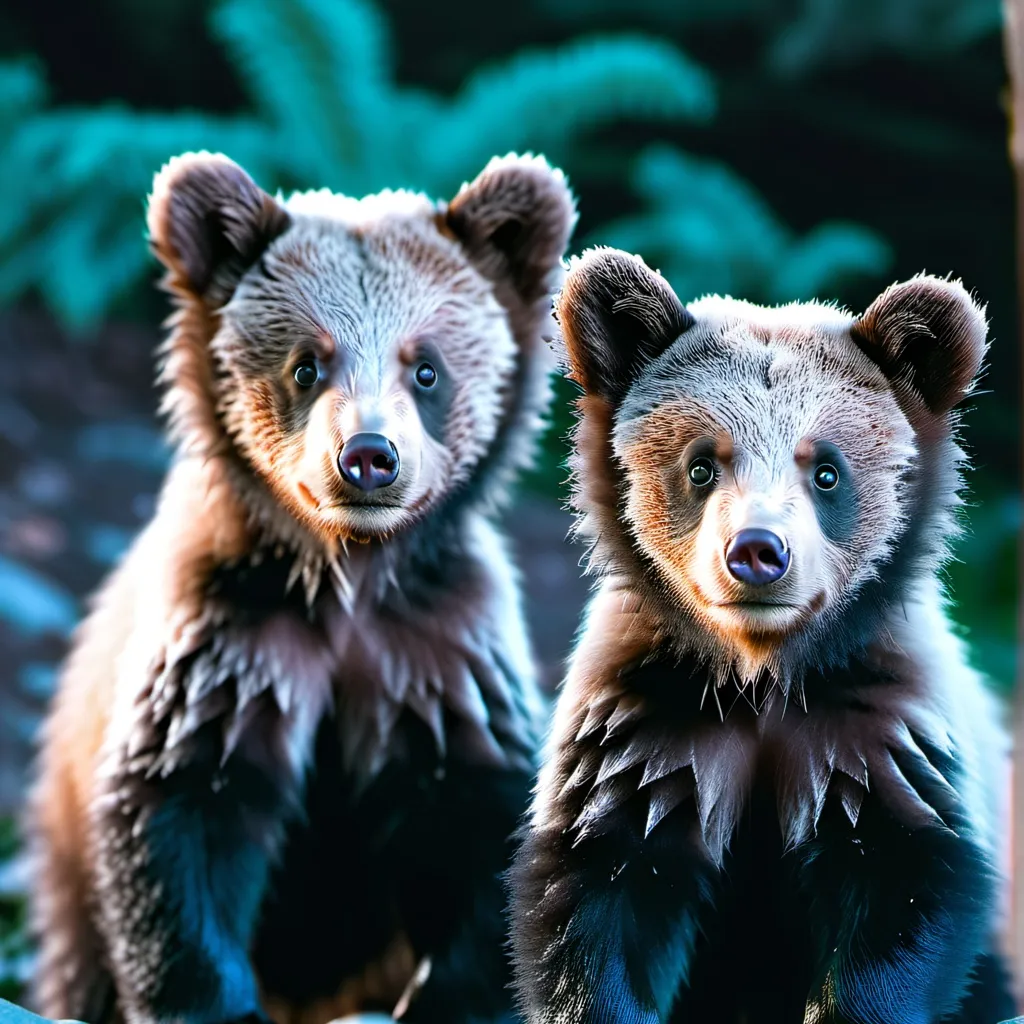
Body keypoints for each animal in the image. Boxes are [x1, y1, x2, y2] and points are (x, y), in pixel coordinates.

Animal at [27, 150, 576, 1024]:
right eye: (306, 364)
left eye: (427, 366)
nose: (369, 456)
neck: (349, 577)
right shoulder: (232, 643)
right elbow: (181, 814)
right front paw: (208, 999)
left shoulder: (435, 652)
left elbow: (474, 826)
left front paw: (446, 996)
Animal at [508, 248, 1015, 1024]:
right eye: (700, 464)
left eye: (827, 469)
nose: (756, 551)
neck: (762, 677)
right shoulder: (646, 727)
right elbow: (595, 898)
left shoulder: (873, 729)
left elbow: (901, 889)